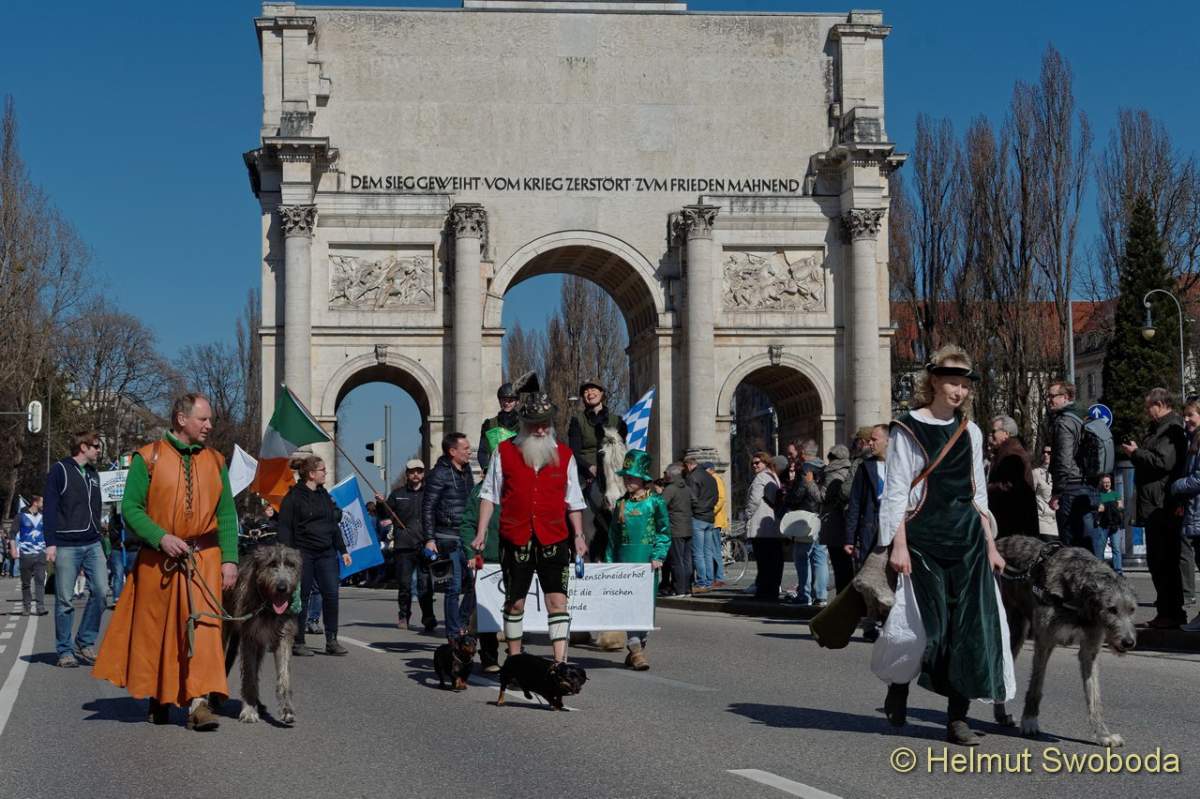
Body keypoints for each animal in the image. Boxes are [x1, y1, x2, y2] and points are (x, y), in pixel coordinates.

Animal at [222, 543, 302, 725]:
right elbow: (249, 676)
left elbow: (284, 676)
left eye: (291, 565)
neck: (267, 606)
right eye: (271, 564)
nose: (282, 588)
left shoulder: (283, 636)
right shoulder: (250, 637)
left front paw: (287, 709)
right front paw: (249, 710)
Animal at [994, 535, 1137, 747]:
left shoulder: (1090, 648)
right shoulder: (1044, 641)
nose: (1128, 642)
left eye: (1132, 610)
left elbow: (1094, 695)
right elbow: (1036, 685)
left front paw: (1103, 734)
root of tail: (998, 541)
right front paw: (1029, 721)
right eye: (1112, 609)